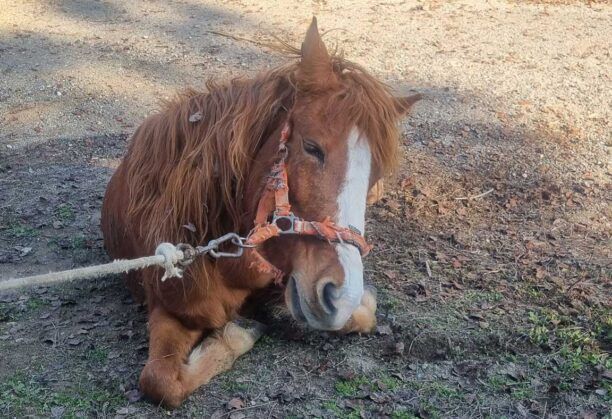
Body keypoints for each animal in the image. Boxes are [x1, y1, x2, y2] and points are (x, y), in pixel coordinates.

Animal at [103, 18, 420, 408]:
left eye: (375, 172)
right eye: (311, 147)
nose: (339, 296)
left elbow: (362, 316)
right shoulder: (171, 308)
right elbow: (161, 382)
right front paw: (240, 332)